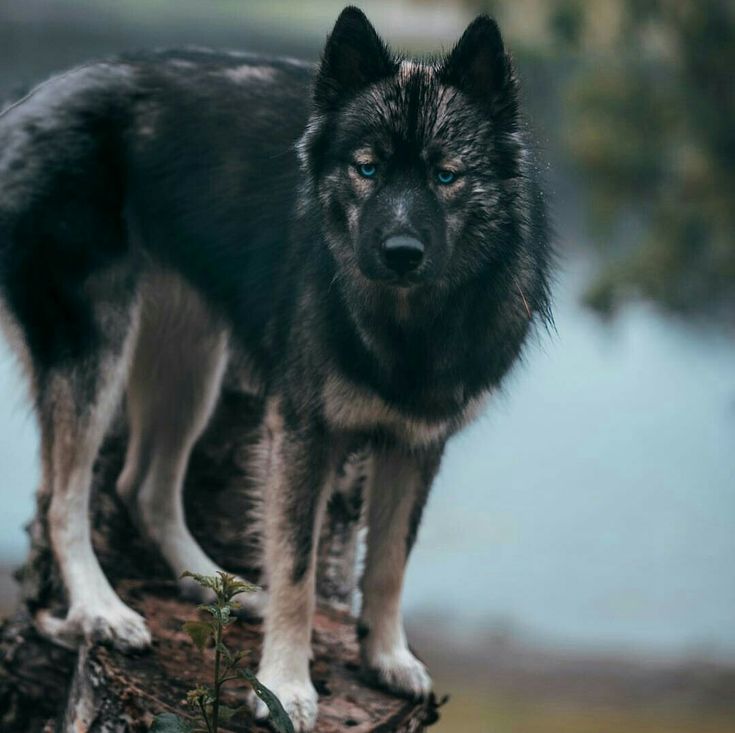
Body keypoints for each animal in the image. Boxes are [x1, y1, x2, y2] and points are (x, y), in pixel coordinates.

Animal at [0, 7, 552, 732]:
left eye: (445, 176)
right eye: (367, 169)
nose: (400, 252)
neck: (404, 323)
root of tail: (30, 98)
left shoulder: (416, 443)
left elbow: (390, 564)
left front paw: (386, 656)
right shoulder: (302, 431)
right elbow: (297, 568)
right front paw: (285, 684)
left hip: (190, 365)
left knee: (140, 485)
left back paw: (226, 590)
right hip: (96, 350)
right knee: (63, 496)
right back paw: (101, 609)